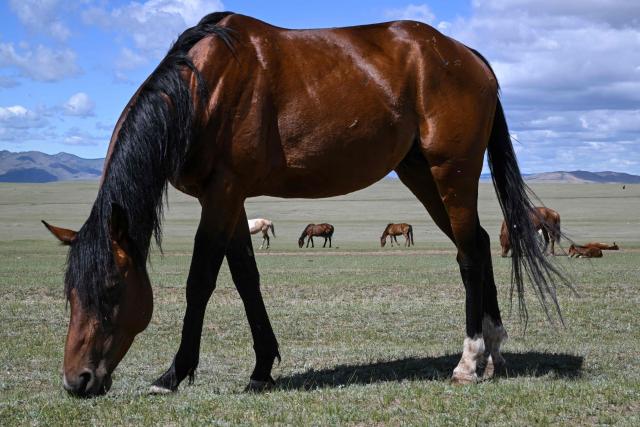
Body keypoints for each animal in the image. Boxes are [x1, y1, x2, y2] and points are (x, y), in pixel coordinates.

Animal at [42, 12, 568, 397]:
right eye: (69, 293)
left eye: (111, 289)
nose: (76, 380)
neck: (202, 89)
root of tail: (467, 55)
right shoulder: (231, 199)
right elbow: (245, 277)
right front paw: (261, 368)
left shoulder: (222, 193)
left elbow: (201, 281)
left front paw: (173, 373)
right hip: (422, 174)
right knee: (475, 243)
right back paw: (493, 355)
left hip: (451, 173)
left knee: (470, 254)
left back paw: (468, 360)